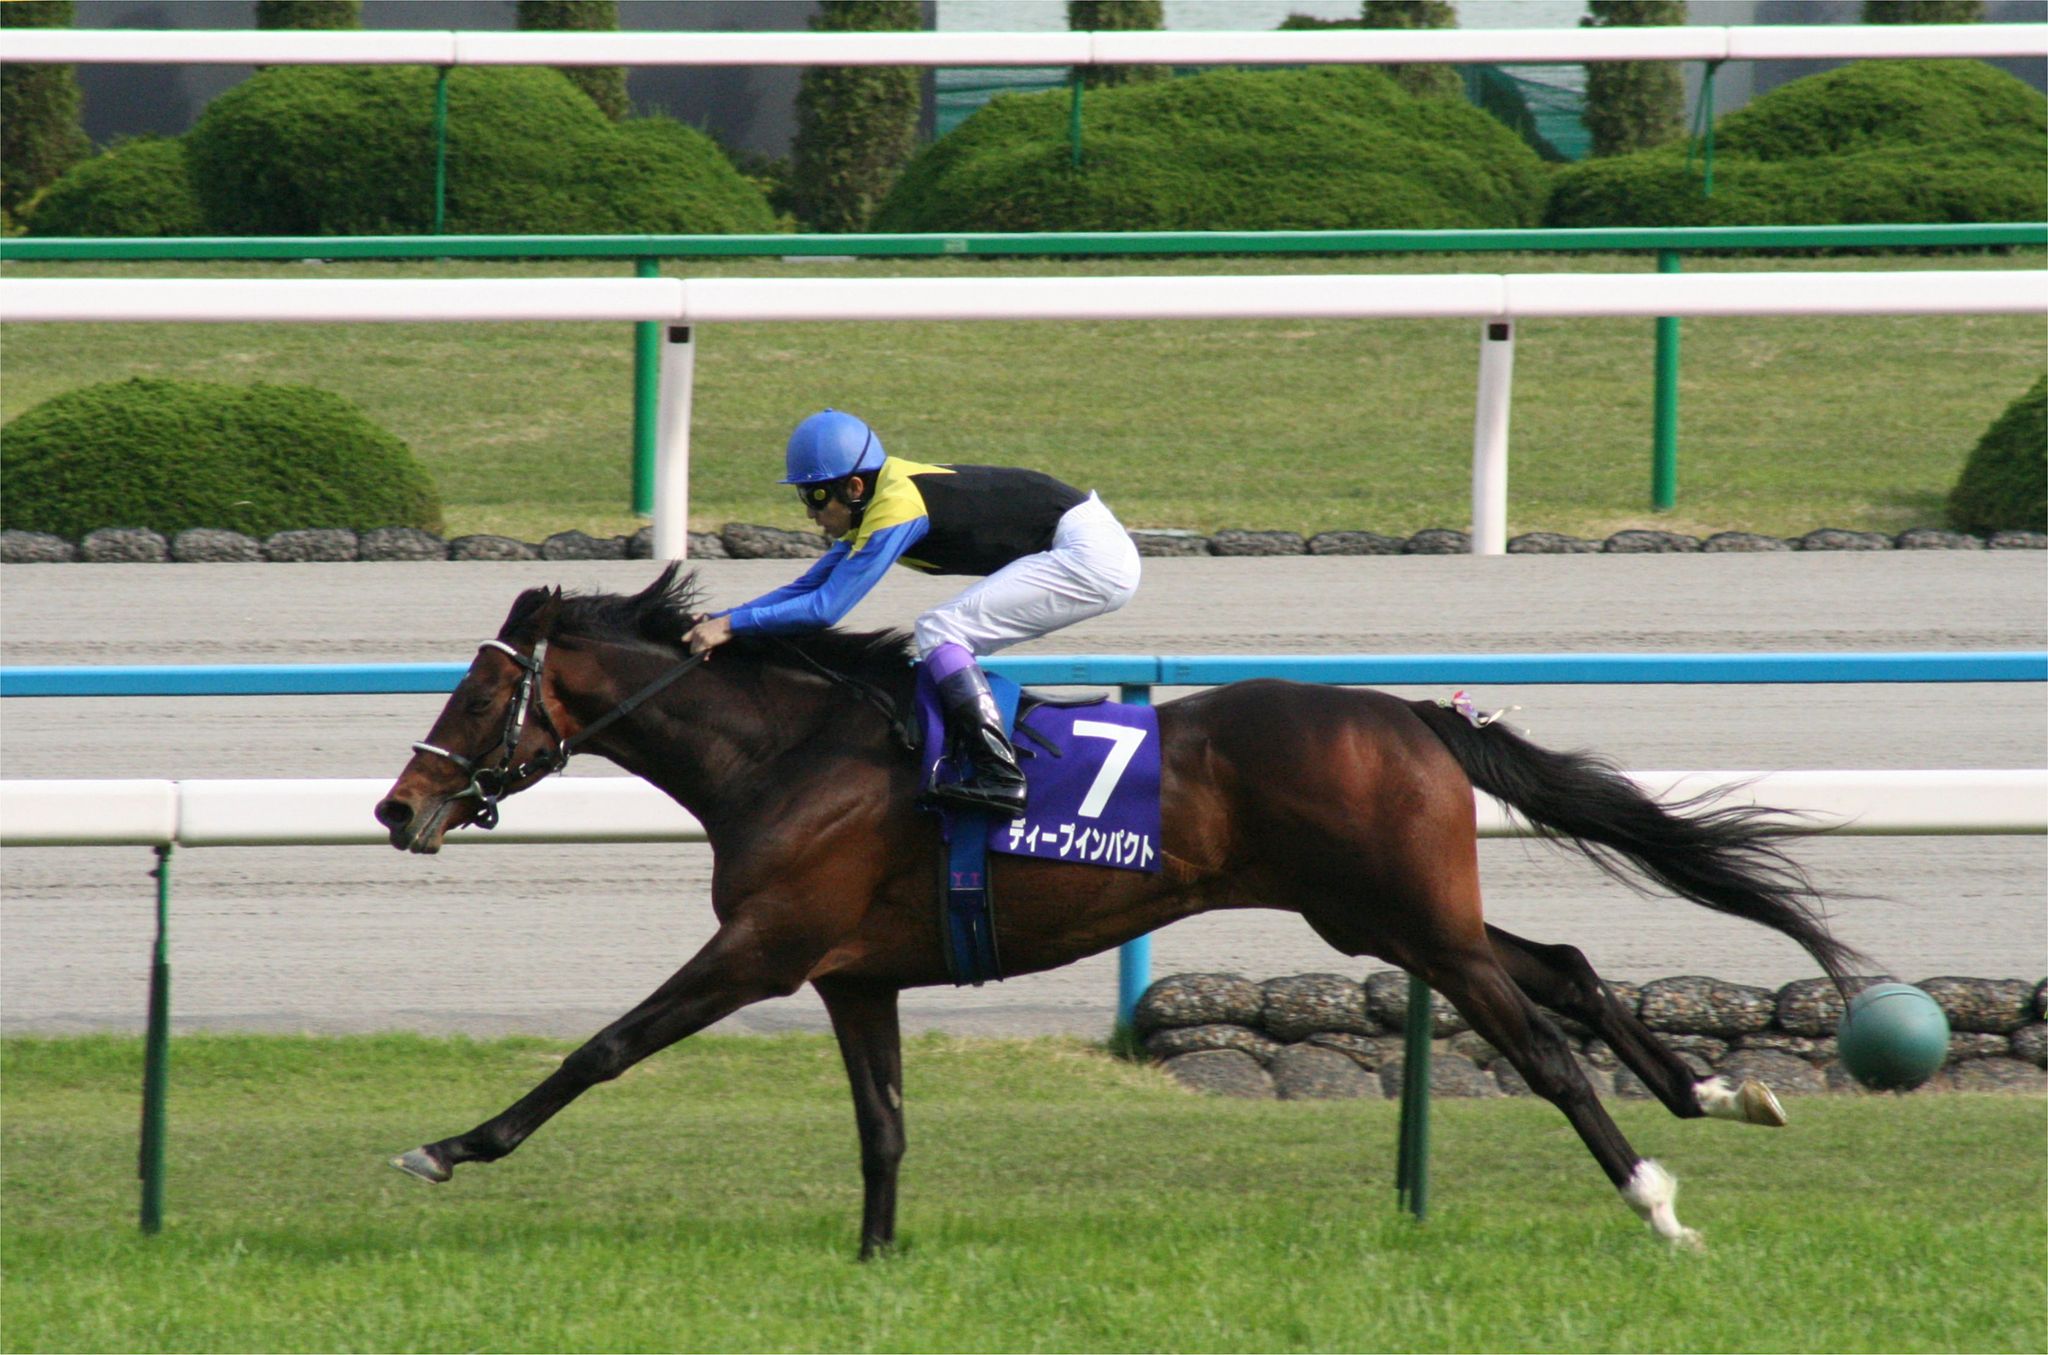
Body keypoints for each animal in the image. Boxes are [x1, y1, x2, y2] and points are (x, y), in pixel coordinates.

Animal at [374, 564, 1864, 1256]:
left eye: (477, 690)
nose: (397, 806)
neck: (787, 751)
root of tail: (1418, 717)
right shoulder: (855, 973)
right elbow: (882, 1126)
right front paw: (873, 1258)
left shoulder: (762, 945)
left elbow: (604, 1046)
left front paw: (448, 1145)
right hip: (1376, 917)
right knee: (1562, 961)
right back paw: (1723, 1093)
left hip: (1411, 921)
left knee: (1544, 1044)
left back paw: (1659, 1201)